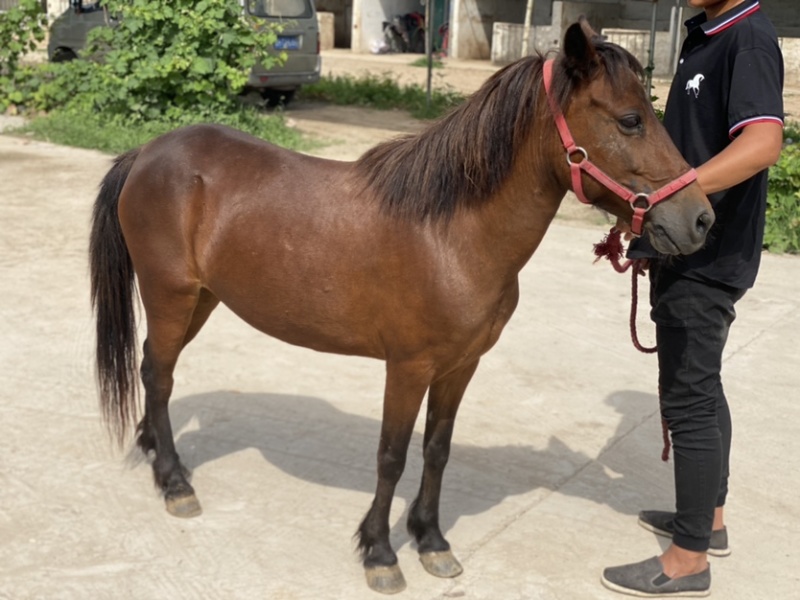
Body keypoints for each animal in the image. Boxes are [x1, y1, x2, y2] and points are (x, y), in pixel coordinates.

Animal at [89, 19, 713, 594]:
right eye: (630, 120)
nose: (701, 218)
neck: (452, 235)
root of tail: (147, 153)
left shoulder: (461, 366)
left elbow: (436, 449)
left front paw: (431, 540)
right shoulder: (408, 368)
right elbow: (391, 456)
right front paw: (380, 553)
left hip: (200, 301)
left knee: (153, 368)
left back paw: (156, 453)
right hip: (170, 295)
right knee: (159, 375)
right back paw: (175, 483)